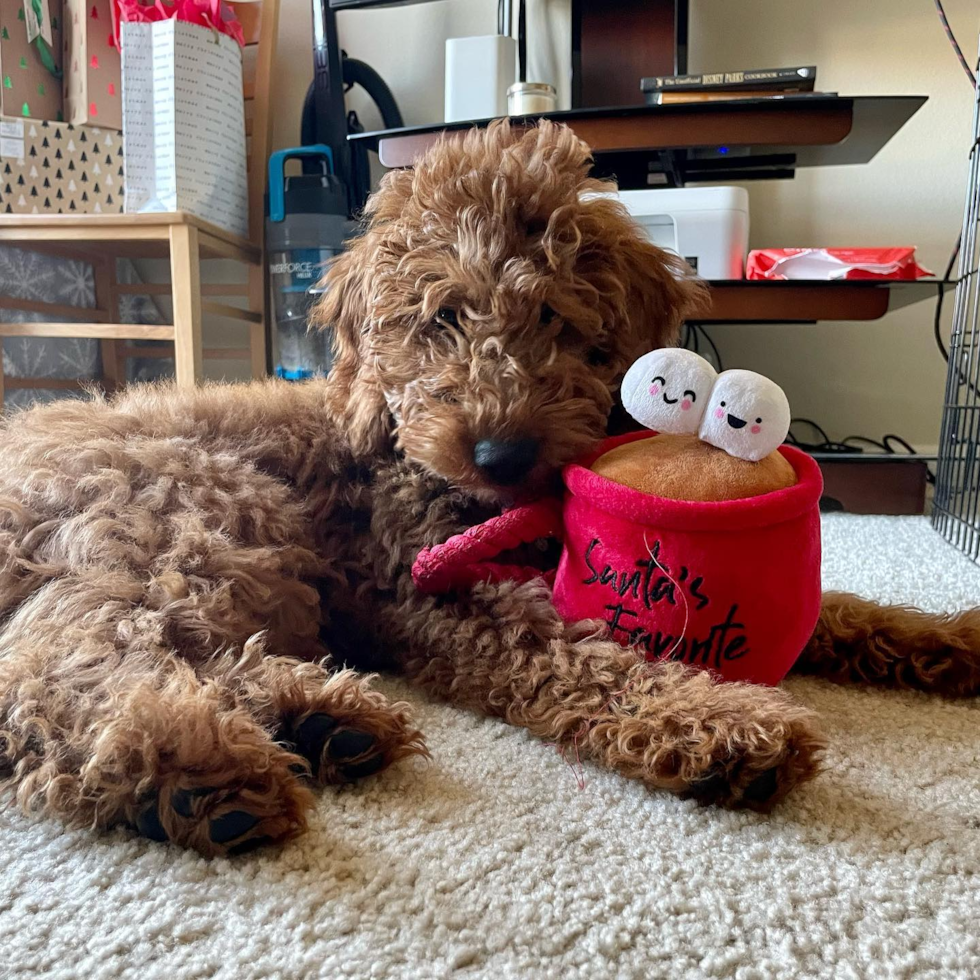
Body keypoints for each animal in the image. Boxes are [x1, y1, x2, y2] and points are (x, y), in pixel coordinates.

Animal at [0, 124, 976, 856]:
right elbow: (575, 656)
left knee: (161, 657)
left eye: (554, 317)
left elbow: (841, 613)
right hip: (191, 518)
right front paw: (714, 723)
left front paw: (949, 641)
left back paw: (321, 720)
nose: (501, 452)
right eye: (441, 319)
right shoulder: (430, 595)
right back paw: (190, 770)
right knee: (63, 670)